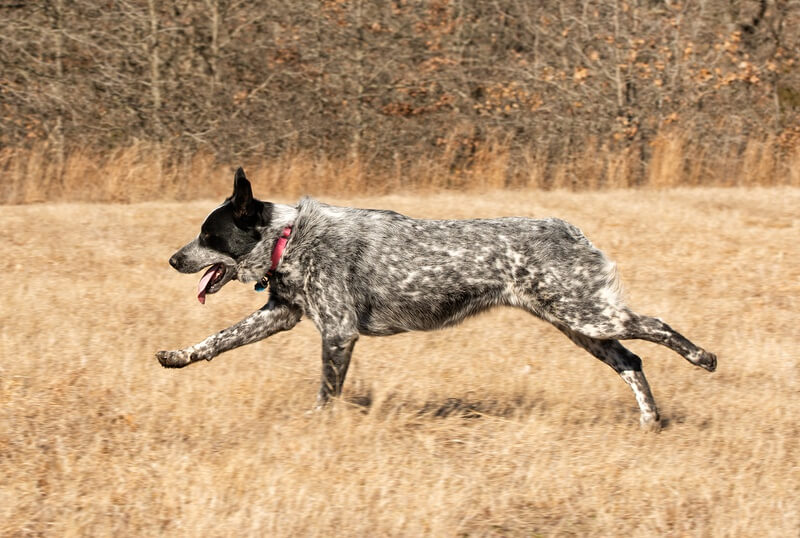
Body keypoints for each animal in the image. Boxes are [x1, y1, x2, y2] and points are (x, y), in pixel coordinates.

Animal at [156, 168, 720, 428]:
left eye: (207, 234)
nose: (172, 260)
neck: (290, 238)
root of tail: (571, 231)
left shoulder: (337, 332)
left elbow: (326, 392)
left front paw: (318, 426)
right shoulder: (281, 314)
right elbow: (216, 340)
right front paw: (178, 356)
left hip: (588, 316)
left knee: (658, 326)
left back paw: (704, 358)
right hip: (580, 325)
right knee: (633, 361)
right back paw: (650, 421)